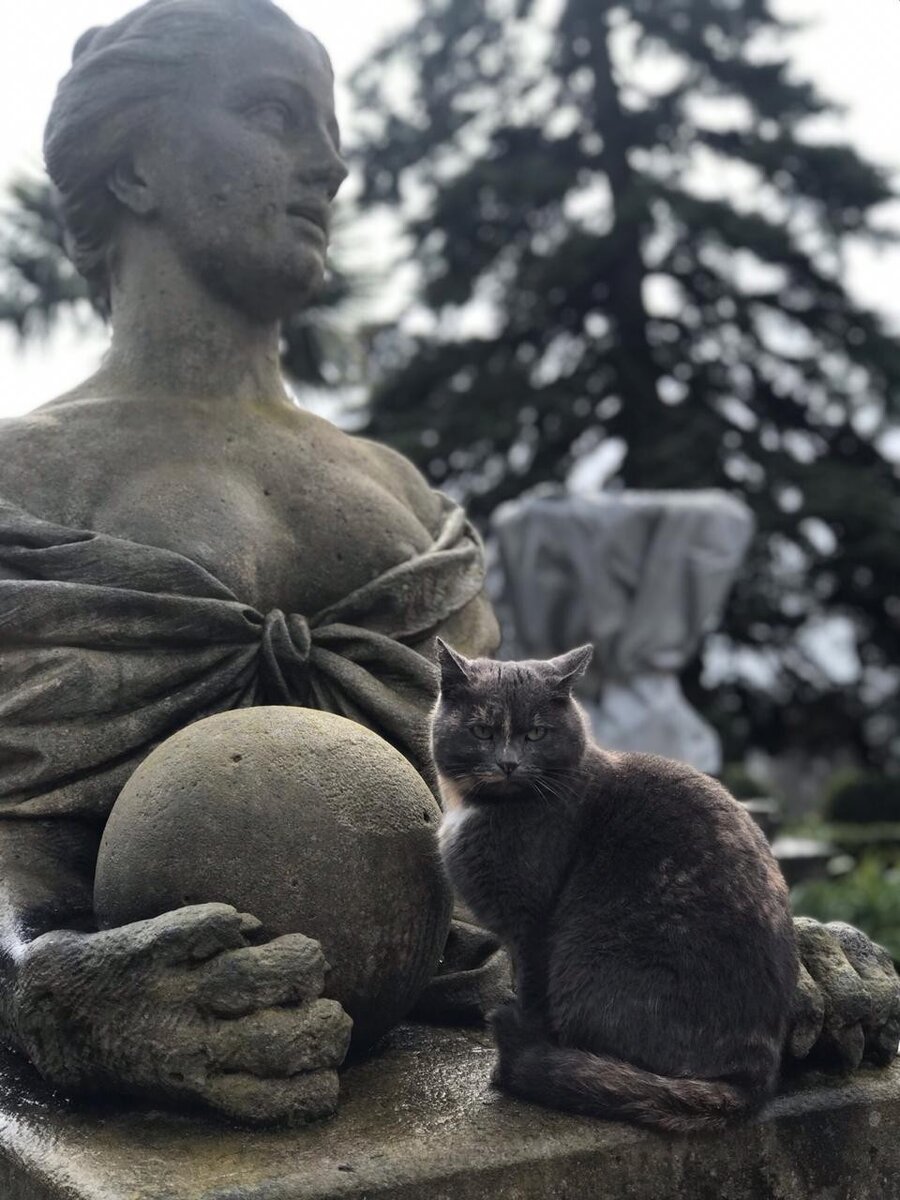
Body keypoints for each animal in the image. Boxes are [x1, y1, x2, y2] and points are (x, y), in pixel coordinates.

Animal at [431, 639, 798, 1134]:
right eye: (483, 730)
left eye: (536, 734)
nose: (508, 763)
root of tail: (755, 1076)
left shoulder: (531, 926)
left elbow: (529, 990)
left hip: (595, 957)